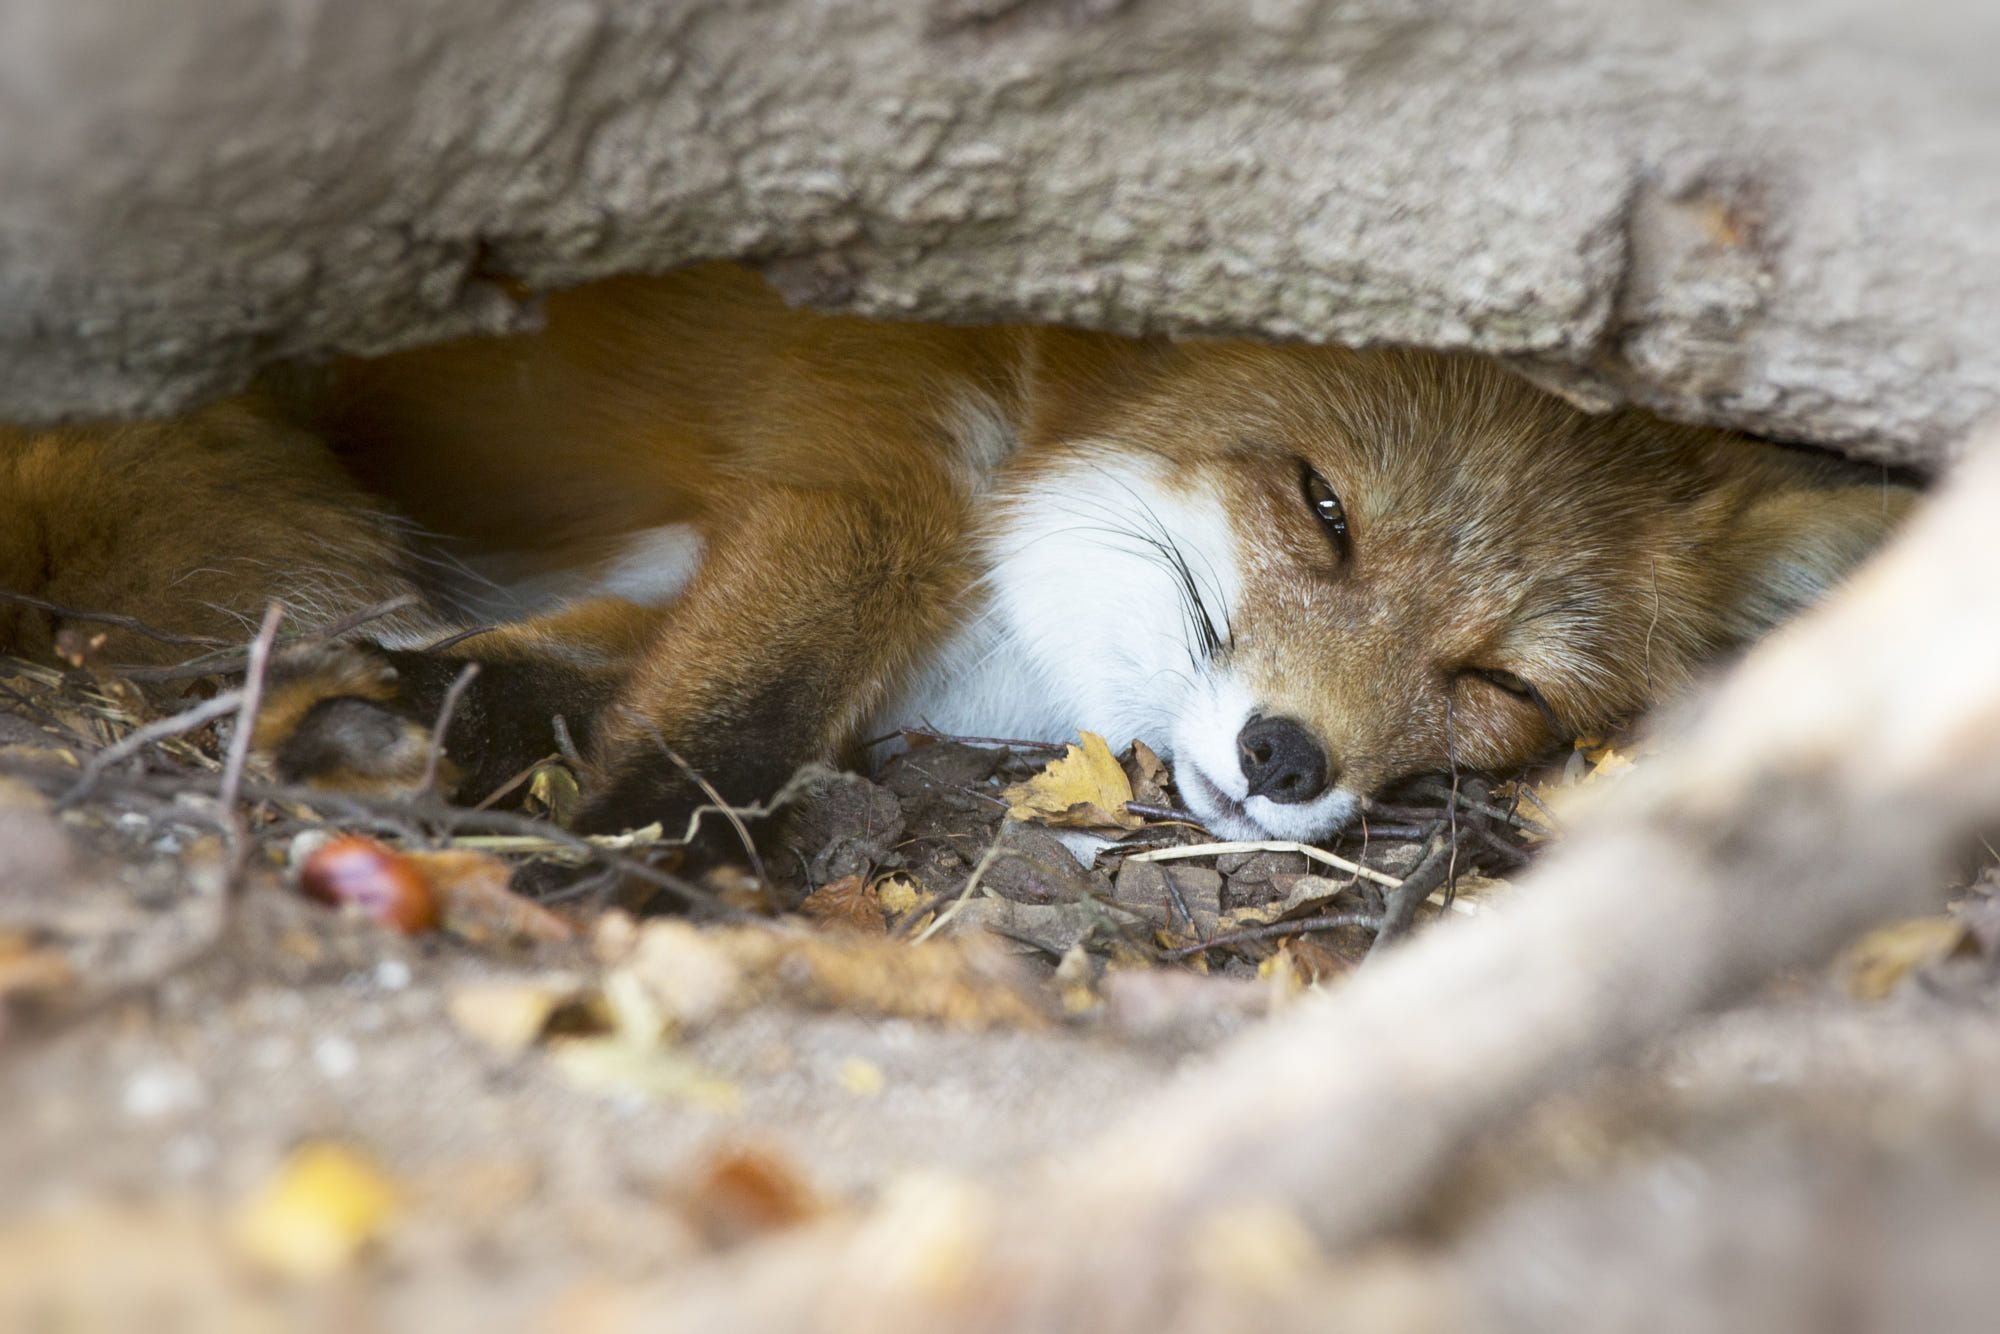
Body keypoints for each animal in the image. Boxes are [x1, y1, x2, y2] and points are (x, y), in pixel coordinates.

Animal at [0, 264, 1904, 840]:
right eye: (1325, 507)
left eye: (1499, 681)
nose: (1291, 759)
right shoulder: (864, 482)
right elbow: (742, 713)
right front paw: (626, 862)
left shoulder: (680, 568)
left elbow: (547, 672)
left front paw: (398, 718)